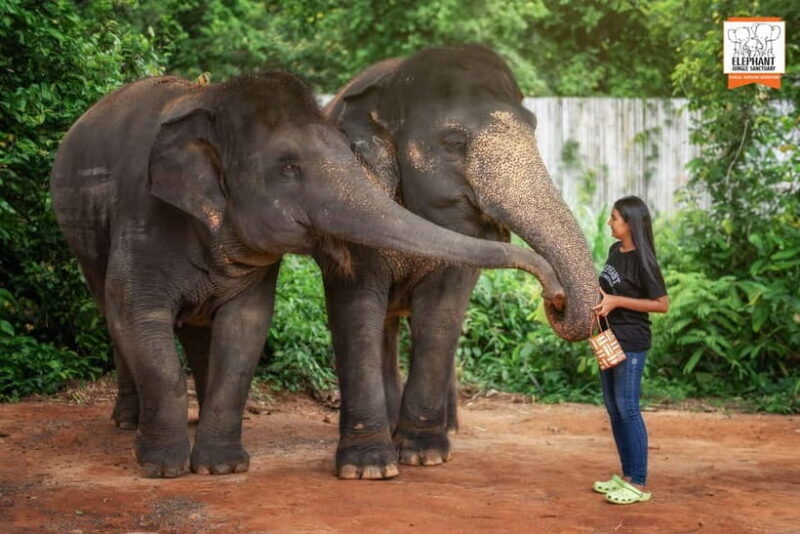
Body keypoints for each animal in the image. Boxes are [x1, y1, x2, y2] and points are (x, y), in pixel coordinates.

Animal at [50, 72, 563, 478]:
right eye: (289, 167)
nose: (555, 297)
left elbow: (246, 329)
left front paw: (222, 468)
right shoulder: (142, 217)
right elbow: (138, 319)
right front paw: (164, 469)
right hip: (82, 232)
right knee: (111, 312)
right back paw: (126, 423)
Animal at [317, 45, 597, 480]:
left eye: (534, 128)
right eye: (453, 141)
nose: (555, 297)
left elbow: (441, 315)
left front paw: (424, 454)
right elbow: (356, 312)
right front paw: (367, 468)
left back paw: (446, 427)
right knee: (384, 325)